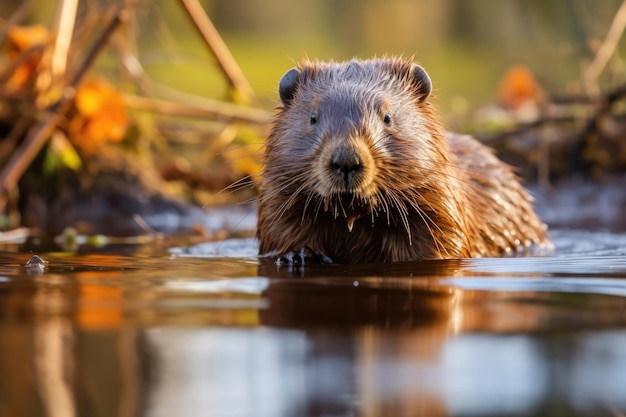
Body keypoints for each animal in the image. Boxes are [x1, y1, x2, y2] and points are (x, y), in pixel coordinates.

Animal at [254, 57, 544, 264]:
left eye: (387, 117)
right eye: (313, 117)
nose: (346, 160)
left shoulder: (441, 204)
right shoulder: (277, 200)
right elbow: (281, 230)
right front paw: (298, 255)